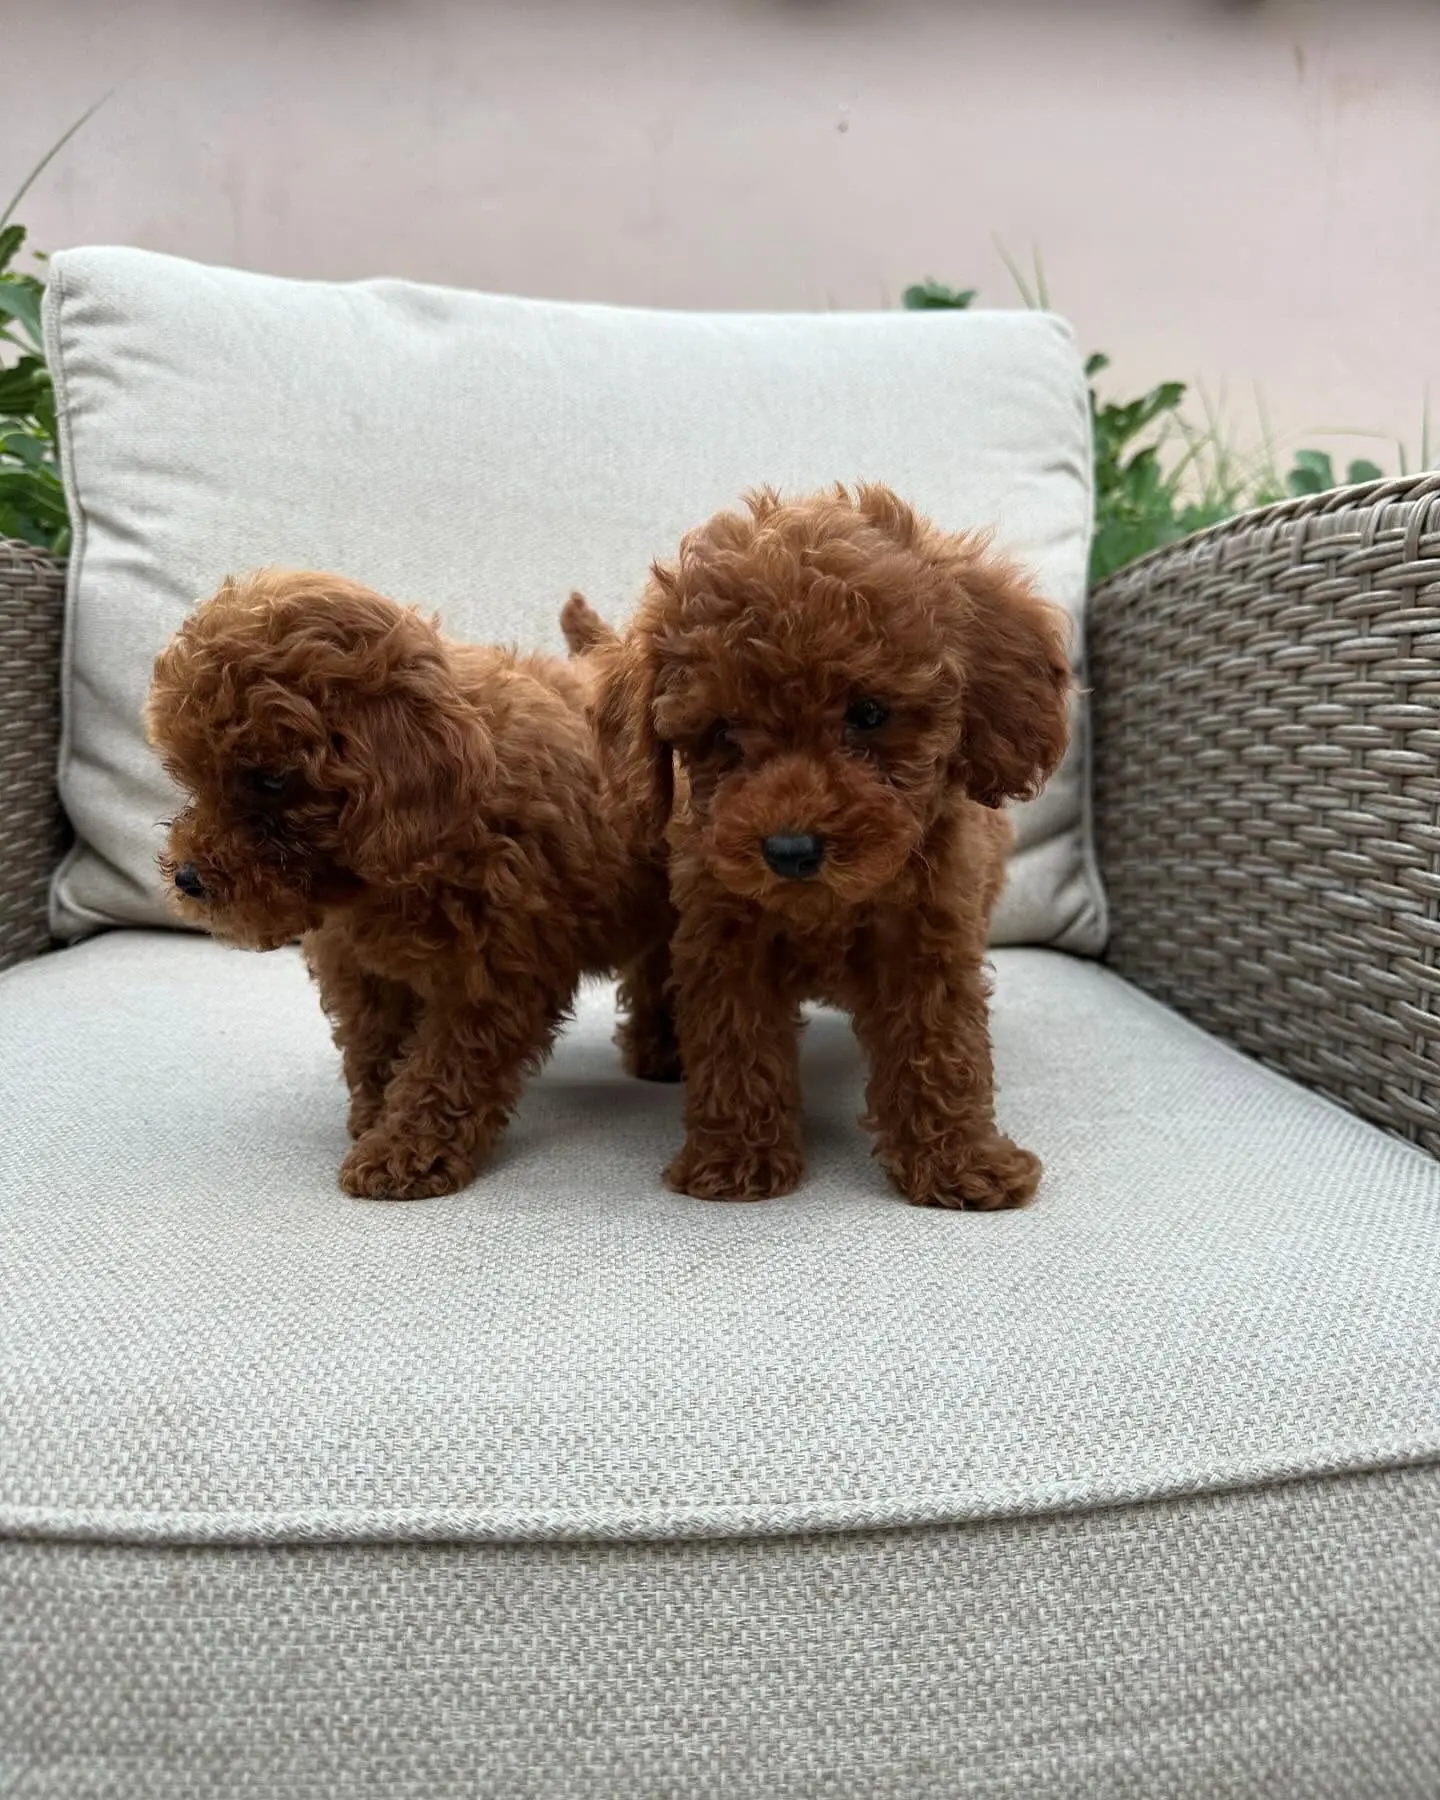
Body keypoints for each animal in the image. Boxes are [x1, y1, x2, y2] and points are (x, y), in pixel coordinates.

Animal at [146, 569, 661, 1200]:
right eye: (191, 776)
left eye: (270, 780)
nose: (188, 878)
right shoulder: (357, 965)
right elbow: (373, 1041)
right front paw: (374, 1116)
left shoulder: (492, 971)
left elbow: (449, 1066)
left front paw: (404, 1153)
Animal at [592, 483, 1073, 1209]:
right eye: (724, 731)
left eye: (869, 713)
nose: (790, 849)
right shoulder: (724, 936)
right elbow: (735, 1044)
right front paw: (736, 1161)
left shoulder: (929, 938)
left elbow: (942, 1047)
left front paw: (960, 1163)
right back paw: (658, 1052)